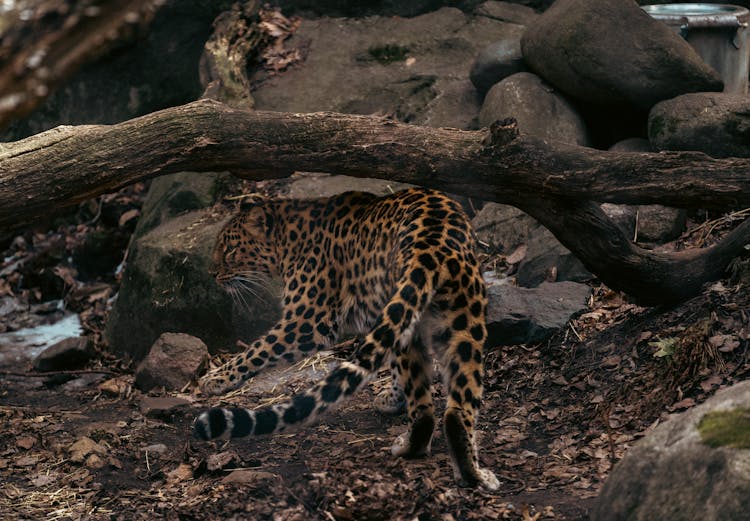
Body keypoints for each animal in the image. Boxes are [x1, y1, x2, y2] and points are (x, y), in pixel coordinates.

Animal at [192, 186, 500, 488]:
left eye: (230, 249)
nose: (211, 274)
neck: (287, 239)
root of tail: (433, 245)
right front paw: (393, 397)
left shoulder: (307, 322)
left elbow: (258, 349)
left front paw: (217, 378)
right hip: (463, 321)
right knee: (458, 405)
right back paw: (474, 473)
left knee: (424, 408)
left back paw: (409, 447)